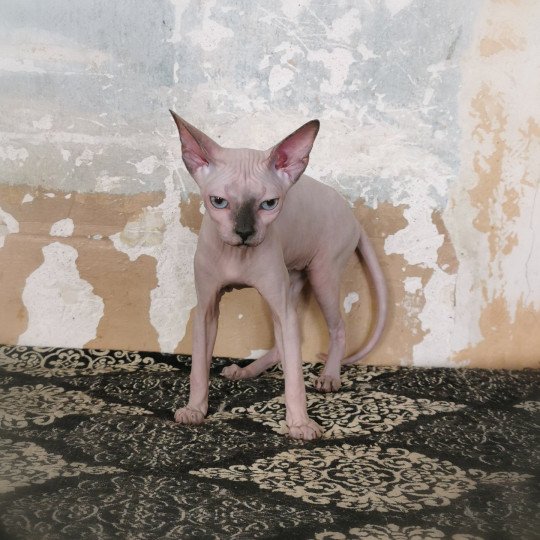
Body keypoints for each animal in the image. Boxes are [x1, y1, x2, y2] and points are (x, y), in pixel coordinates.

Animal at [171, 112, 386, 440]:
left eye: (269, 204)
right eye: (218, 201)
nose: (244, 232)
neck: (238, 256)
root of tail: (352, 216)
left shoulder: (281, 304)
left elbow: (295, 376)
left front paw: (300, 424)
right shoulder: (206, 309)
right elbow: (198, 369)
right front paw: (195, 410)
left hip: (322, 273)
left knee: (336, 328)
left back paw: (329, 376)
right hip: (292, 280)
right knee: (285, 341)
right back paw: (246, 370)